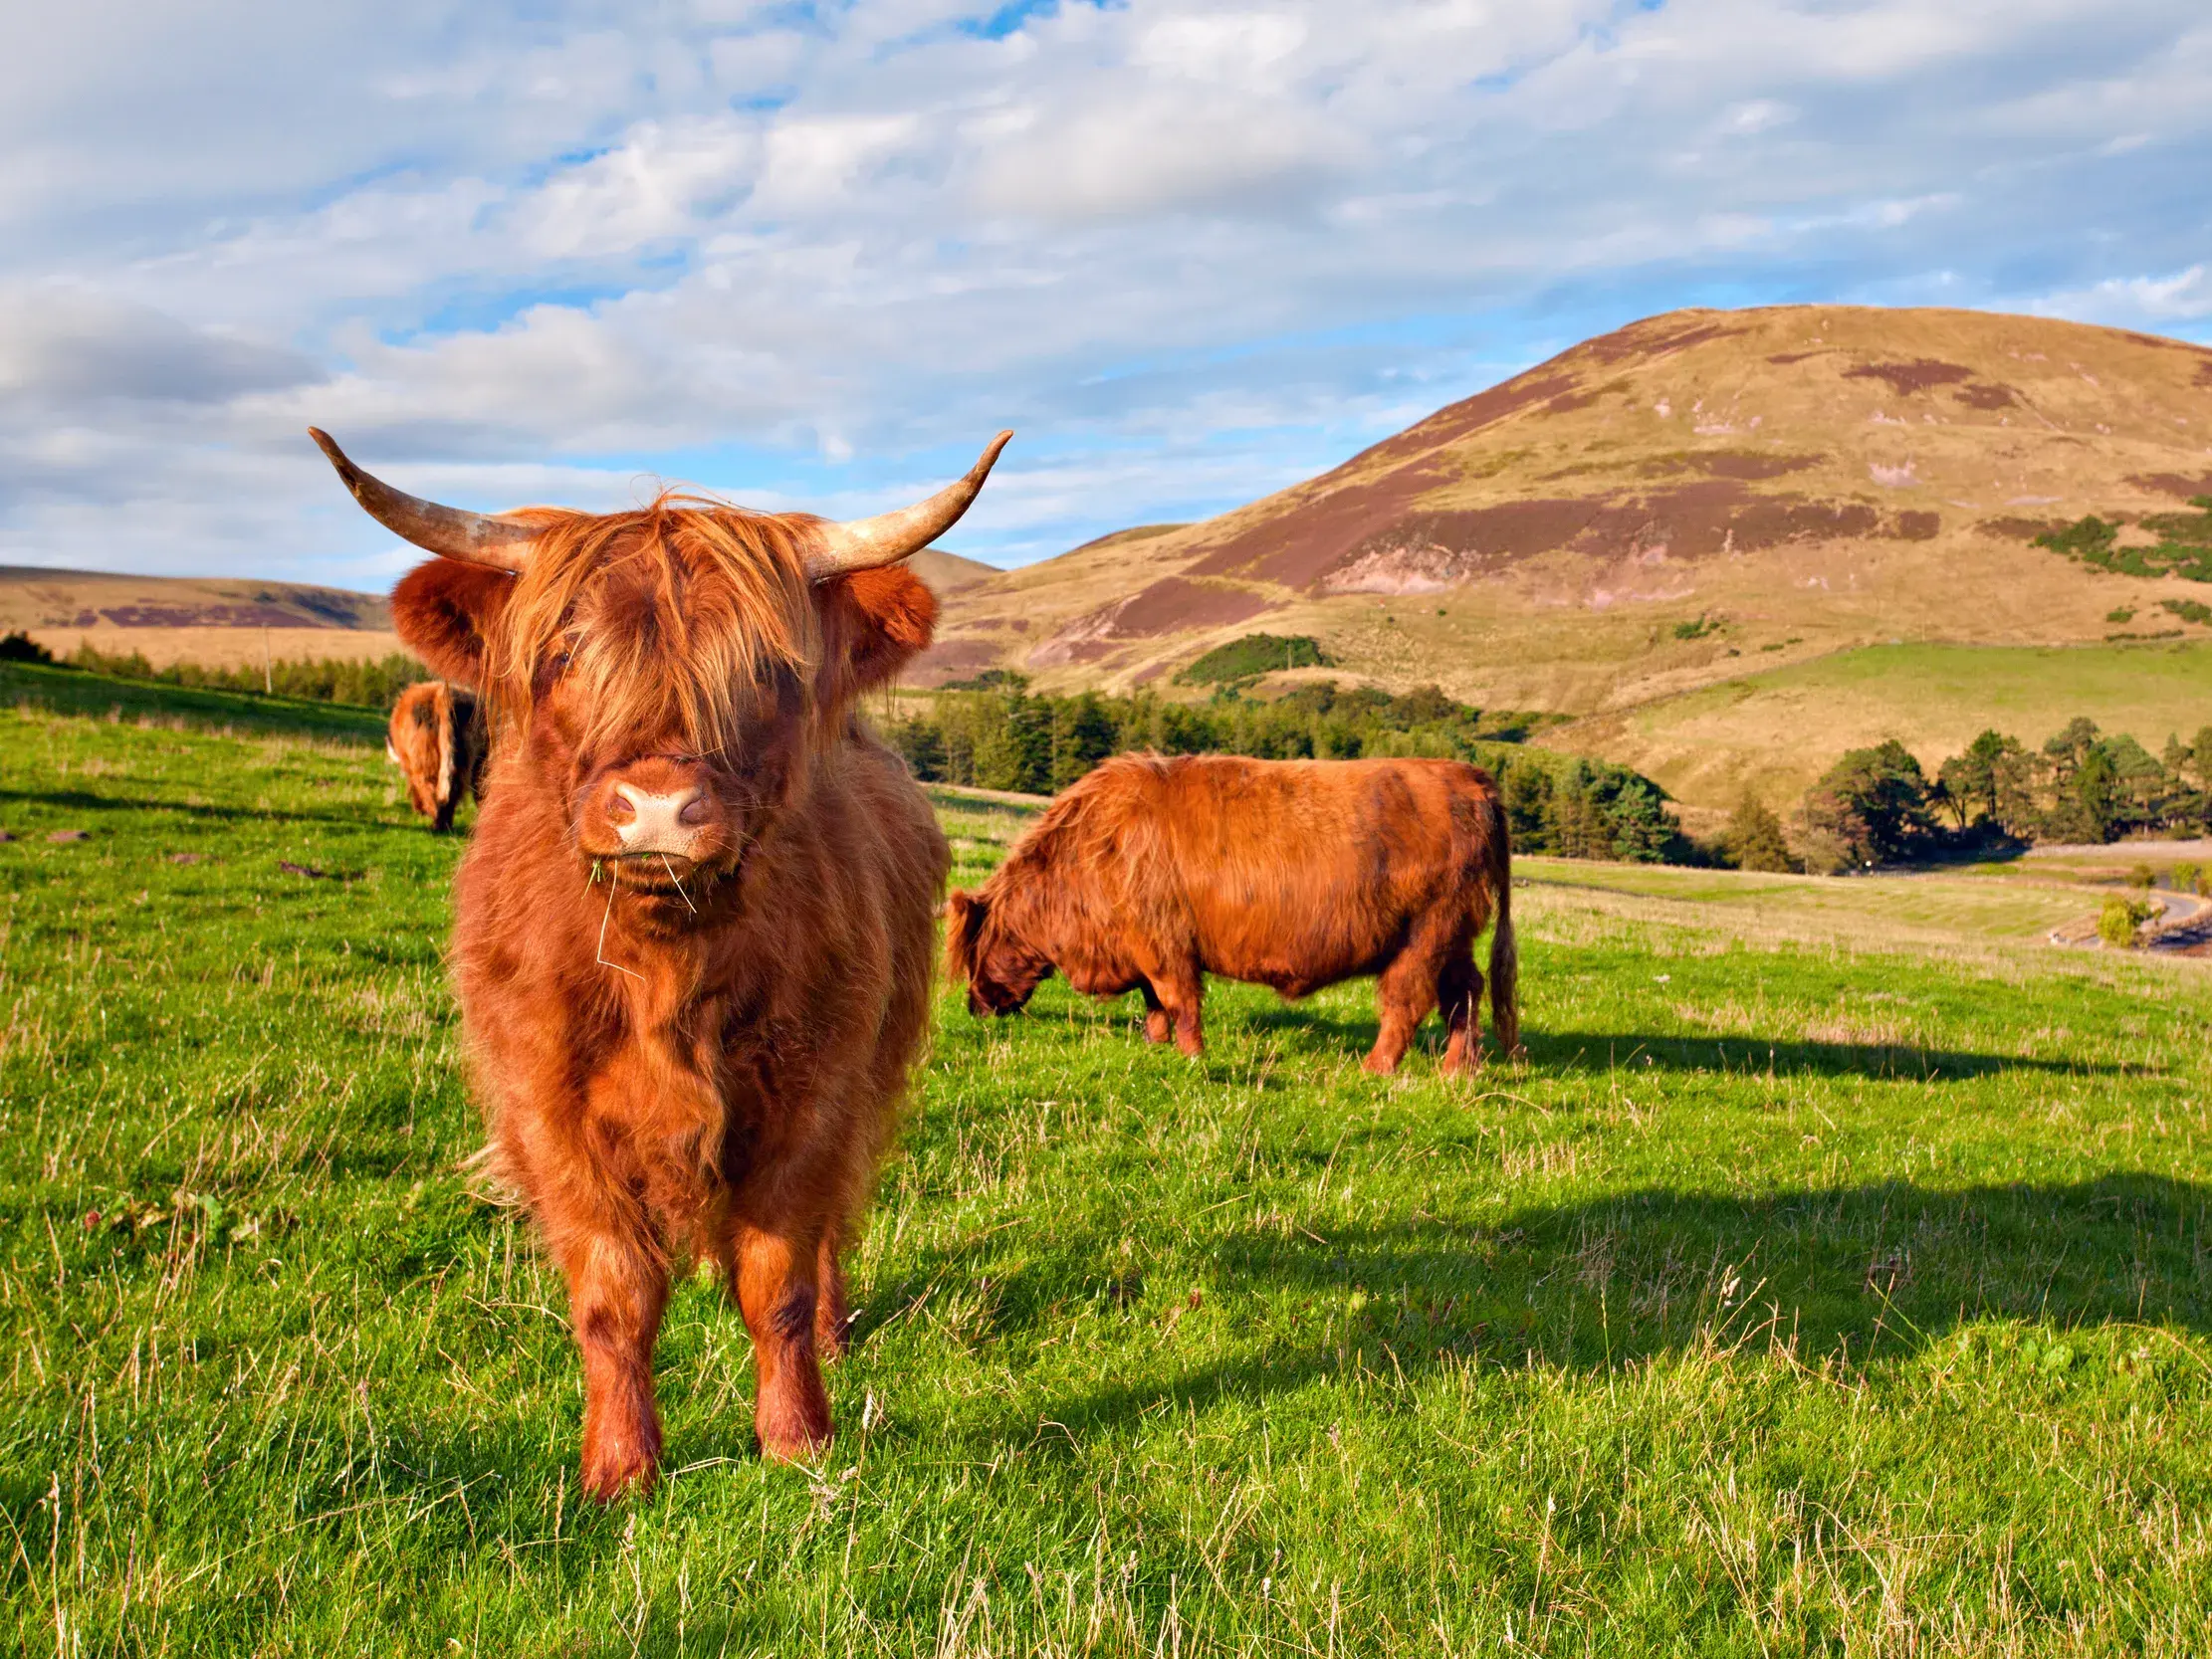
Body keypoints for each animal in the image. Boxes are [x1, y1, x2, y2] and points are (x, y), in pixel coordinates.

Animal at [385, 679, 486, 831]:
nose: (418, 810)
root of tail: (442, 697)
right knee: (459, 787)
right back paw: (447, 824)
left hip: (426, 756)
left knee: (430, 785)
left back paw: (437, 824)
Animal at [944, 753, 1519, 1076]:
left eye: (976, 951)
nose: (975, 1007)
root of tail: (1471, 779)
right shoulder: (1149, 947)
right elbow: (1156, 1002)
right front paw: (1156, 1045)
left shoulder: (1165, 943)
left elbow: (1179, 1000)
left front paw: (1192, 1056)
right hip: (1454, 936)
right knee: (1466, 992)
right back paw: (1457, 1070)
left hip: (1426, 933)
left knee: (1408, 1001)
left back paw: (1374, 1069)